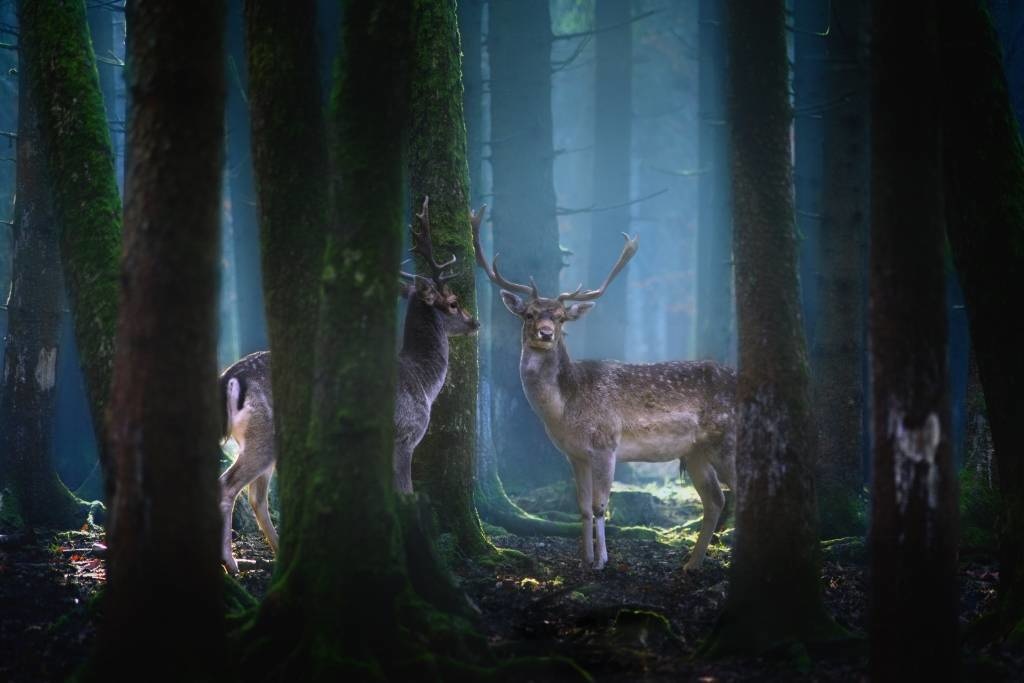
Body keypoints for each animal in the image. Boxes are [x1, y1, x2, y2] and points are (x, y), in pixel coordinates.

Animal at [216, 197, 478, 573]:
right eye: (453, 302)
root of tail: (231, 377)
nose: (475, 322)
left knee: (256, 496)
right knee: (228, 486)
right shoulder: (405, 436)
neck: (423, 382)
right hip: (264, 434)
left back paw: (281, 555)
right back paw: (233, 563)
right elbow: (405, 493)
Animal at [472, 208, 737, 571]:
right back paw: (691, 564)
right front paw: (585, 559)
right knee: (715, 499)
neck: (564, 412)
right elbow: (583, 507)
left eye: (560, 317)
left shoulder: (606, 445)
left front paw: (602, 561)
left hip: (727, 440)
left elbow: (600, 506)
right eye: (528, 314)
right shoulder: (574, 454)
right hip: (695, 452)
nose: (545, 333)